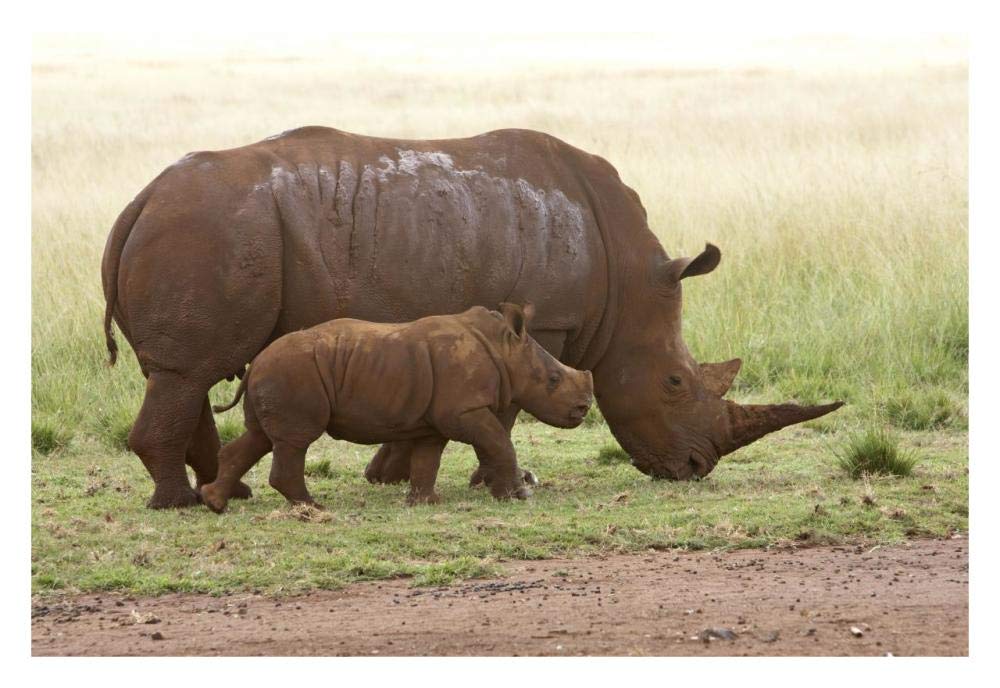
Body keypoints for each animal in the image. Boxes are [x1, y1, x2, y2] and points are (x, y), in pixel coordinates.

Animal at [200, 304, 593, 513]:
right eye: (554, 379)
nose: (583, 408)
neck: (504, 349)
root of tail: (255, 363)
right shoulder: (464, 411)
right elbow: (499, 442)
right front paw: (519, 495)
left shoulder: (436, 420)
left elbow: (428, 458)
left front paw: (426, 501)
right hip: (292, 372)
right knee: (294, 440)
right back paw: (313, 507)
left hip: (277, 373)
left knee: (260, 437)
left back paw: (215, 503)